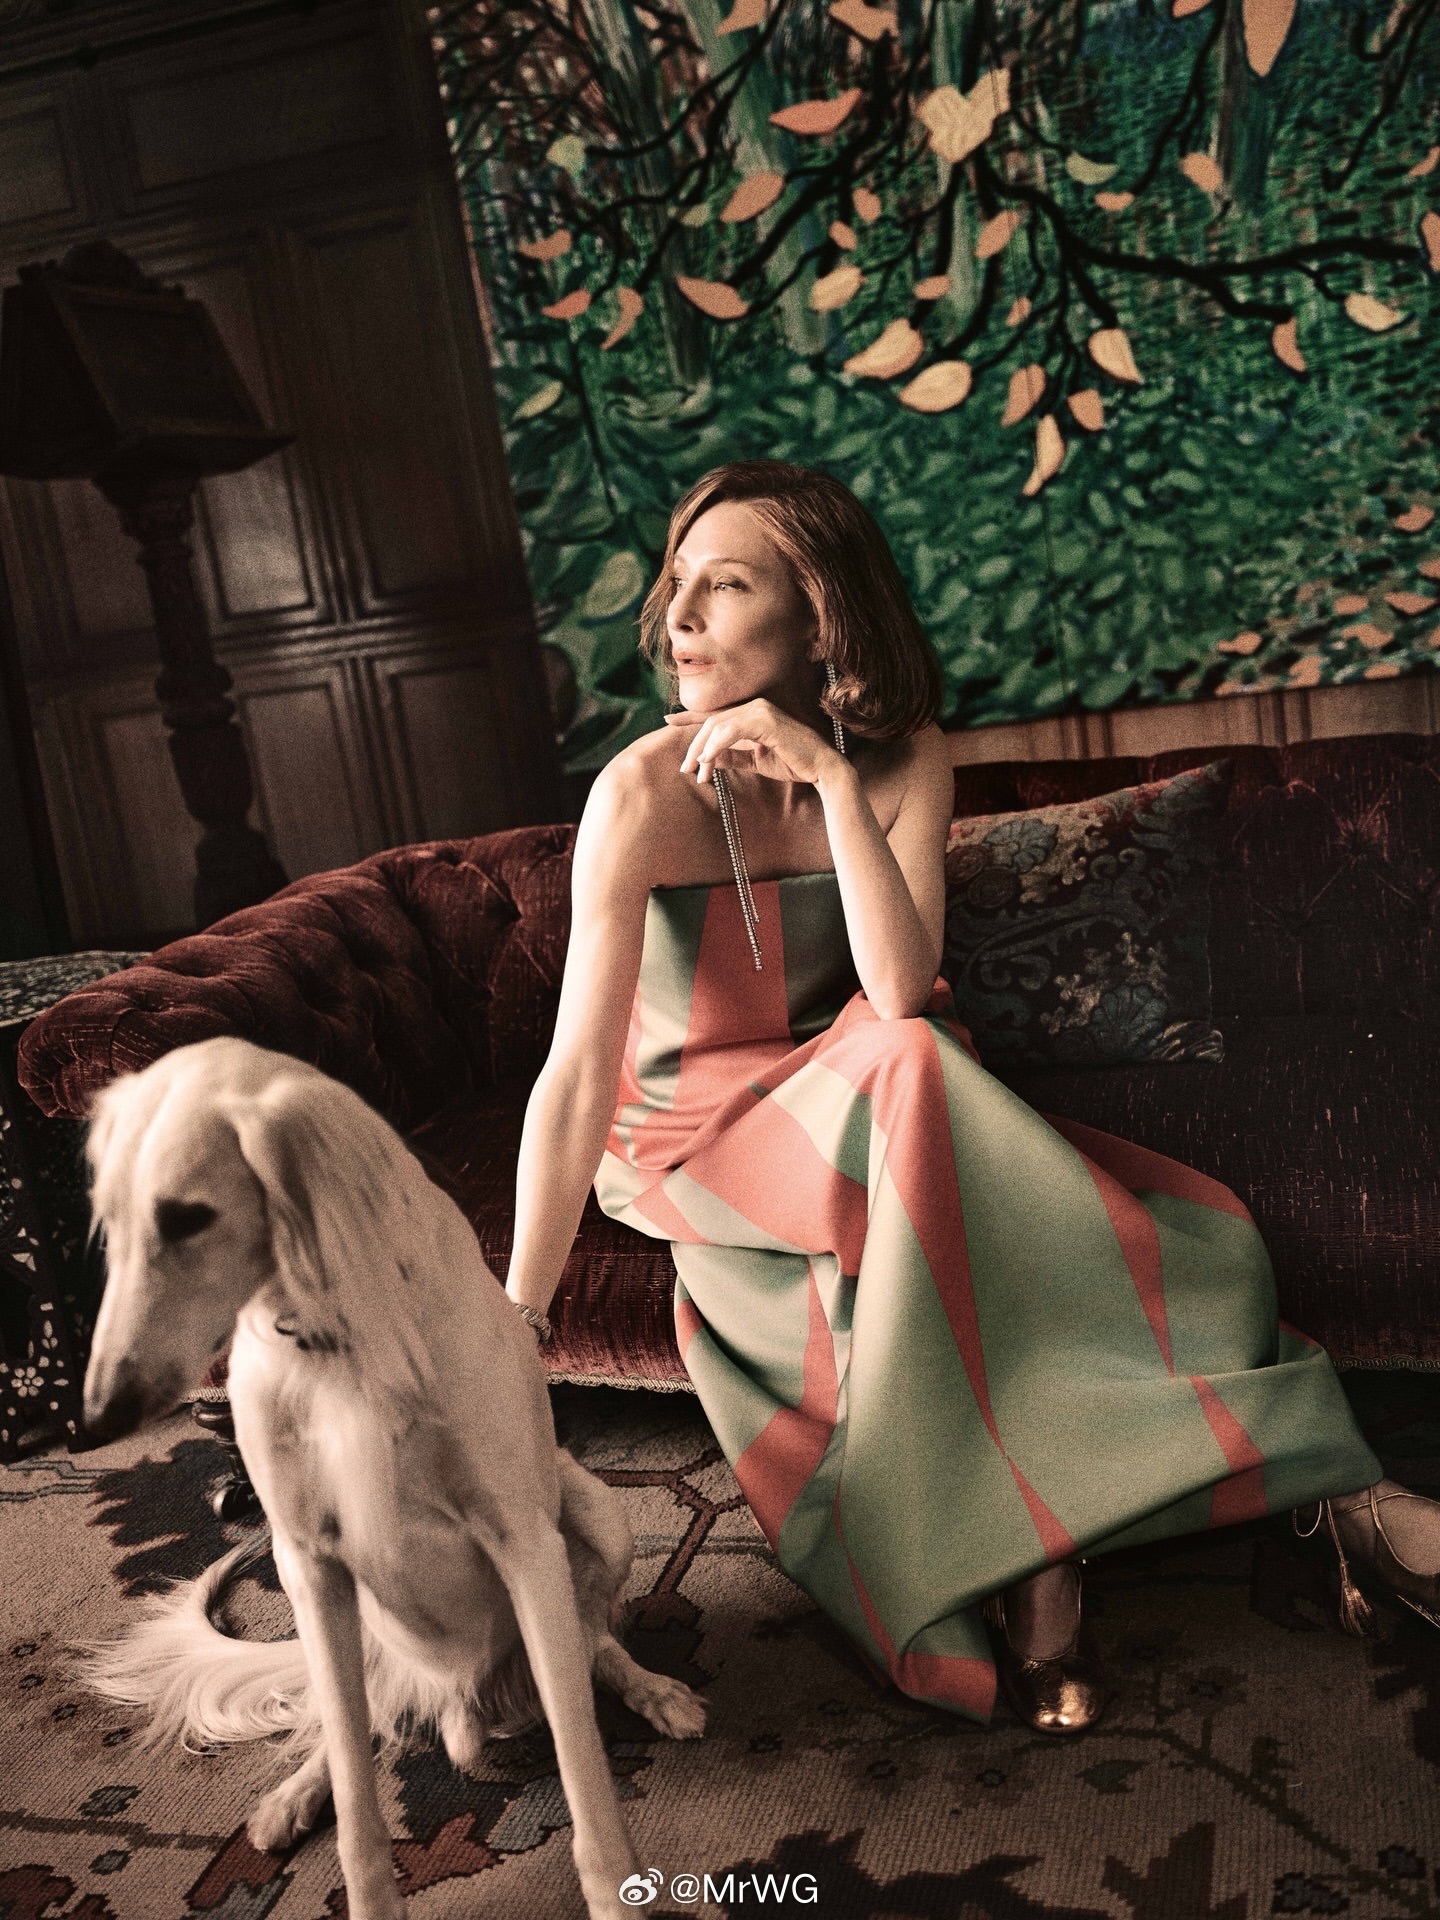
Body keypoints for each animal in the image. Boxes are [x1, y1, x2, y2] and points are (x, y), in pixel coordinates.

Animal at [81, 1036, 704, 1920]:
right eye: (108, 1222)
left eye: (188, 1217)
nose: (97, 1417)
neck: (328, 1347)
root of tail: (459, 1700)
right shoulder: (308, 1563)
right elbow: (357, 1800)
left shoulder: (525, 1546)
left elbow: (584, 1768)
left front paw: (618, 1895)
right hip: (352, 1627)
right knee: (362, 1724)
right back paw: (296, 1793)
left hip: (599, 1521)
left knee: (593, 1647)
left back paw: (652, 1690)